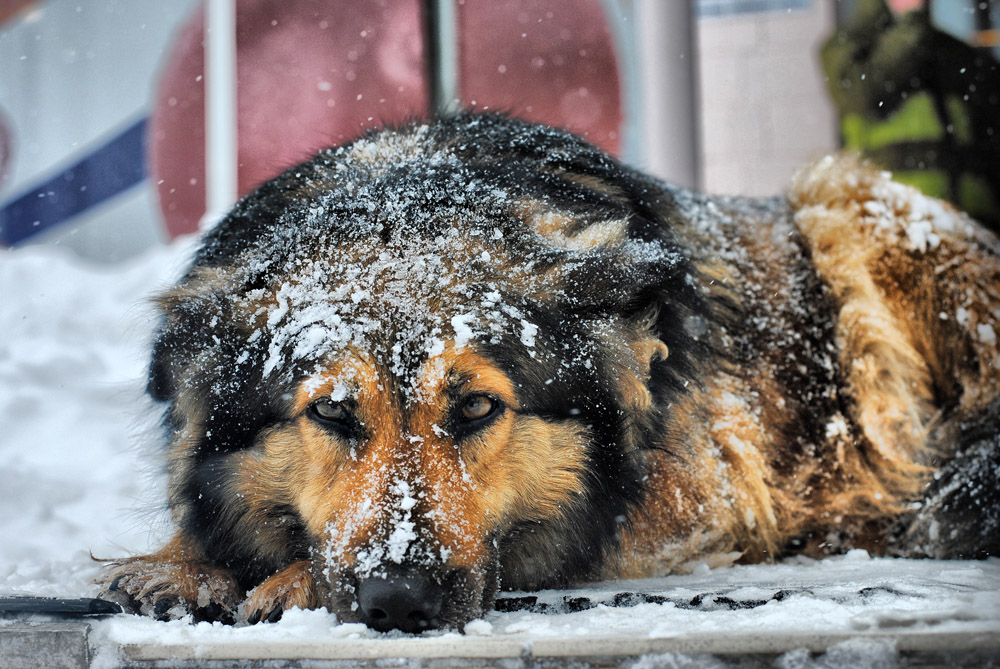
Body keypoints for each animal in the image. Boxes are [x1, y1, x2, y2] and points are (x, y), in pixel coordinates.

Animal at [95, 113, 1000, 632]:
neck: (408, 196)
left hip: (842, 196)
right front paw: (180, 562)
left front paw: (287, 582)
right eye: (333, 414)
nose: (399, 603)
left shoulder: (691, 502)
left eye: (473, 410)